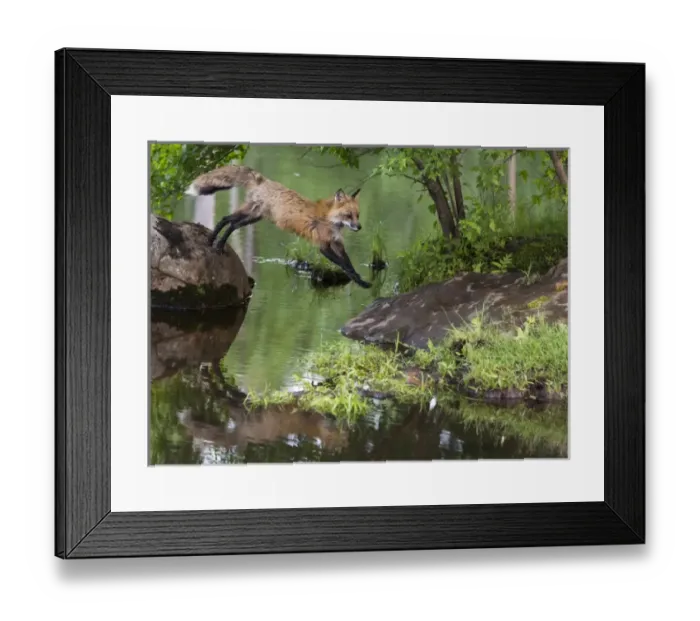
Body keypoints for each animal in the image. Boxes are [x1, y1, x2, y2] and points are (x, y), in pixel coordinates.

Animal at [184, 164, 372, 288]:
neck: (330, 221)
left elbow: (349, 264)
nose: (359, 227)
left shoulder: (337, 244)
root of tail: (263, 180)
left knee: (231, 223)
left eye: (357, 215)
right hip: (250, 215)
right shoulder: (323, 246)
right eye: (348, 215)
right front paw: (359, 281)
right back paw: (214, 240)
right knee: (226, 220)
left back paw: (217, 242)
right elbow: (343, 266)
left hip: (253, 217)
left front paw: (361, 281)